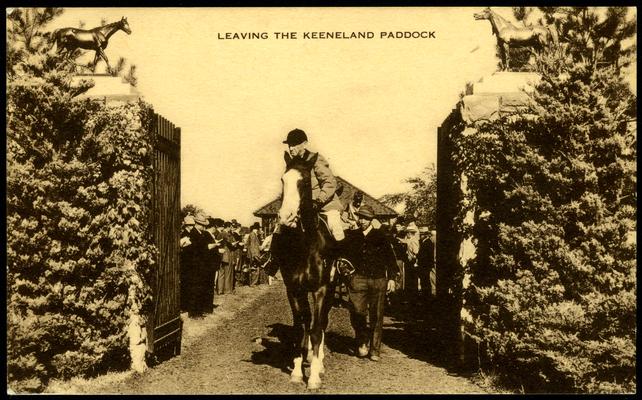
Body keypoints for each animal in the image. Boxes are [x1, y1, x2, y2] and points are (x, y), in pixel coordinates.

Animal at [272, 150, 338, 388]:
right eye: (283, 180)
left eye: (305, 181)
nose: (286, 217)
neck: (305, 245)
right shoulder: (294, 289)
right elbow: (301, 326)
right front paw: (297, 372)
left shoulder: (321, 289)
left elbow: (317, 329)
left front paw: (315, 377)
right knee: (307, 322)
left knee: (321, 322)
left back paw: (320, 361)